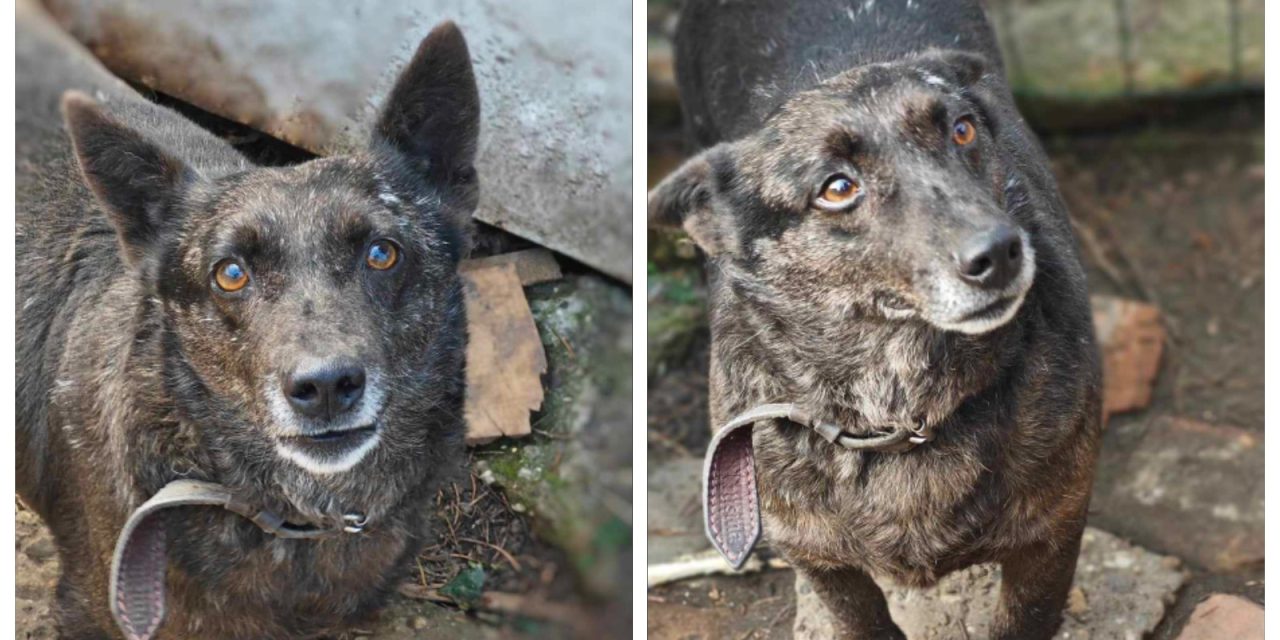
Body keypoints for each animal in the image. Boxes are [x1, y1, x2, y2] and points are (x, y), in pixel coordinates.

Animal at [650, 1, 1100, 640]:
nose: (1000, 251)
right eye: (837, 188)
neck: (899, 408)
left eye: (962, 129)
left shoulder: (1052, 537)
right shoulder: (818, 558)